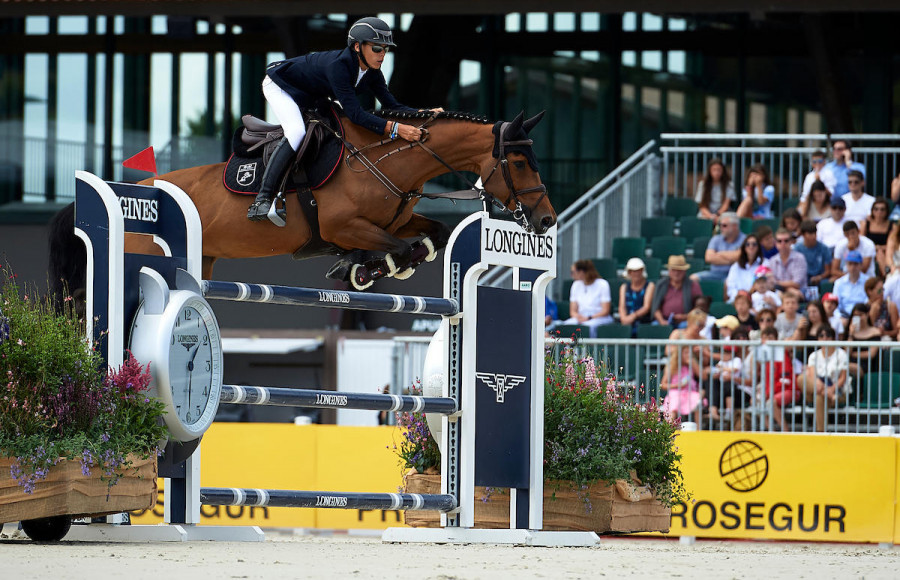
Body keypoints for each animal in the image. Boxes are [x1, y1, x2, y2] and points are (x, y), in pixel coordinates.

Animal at [51, 107, 556, 302]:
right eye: (518, 162)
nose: (547, 219)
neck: (384, 162)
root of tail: (134, 188)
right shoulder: (343, 227)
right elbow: (391, 247)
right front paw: (364, 269)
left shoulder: (399, 217)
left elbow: (433, 235)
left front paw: (377, 266)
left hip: (204, 260)